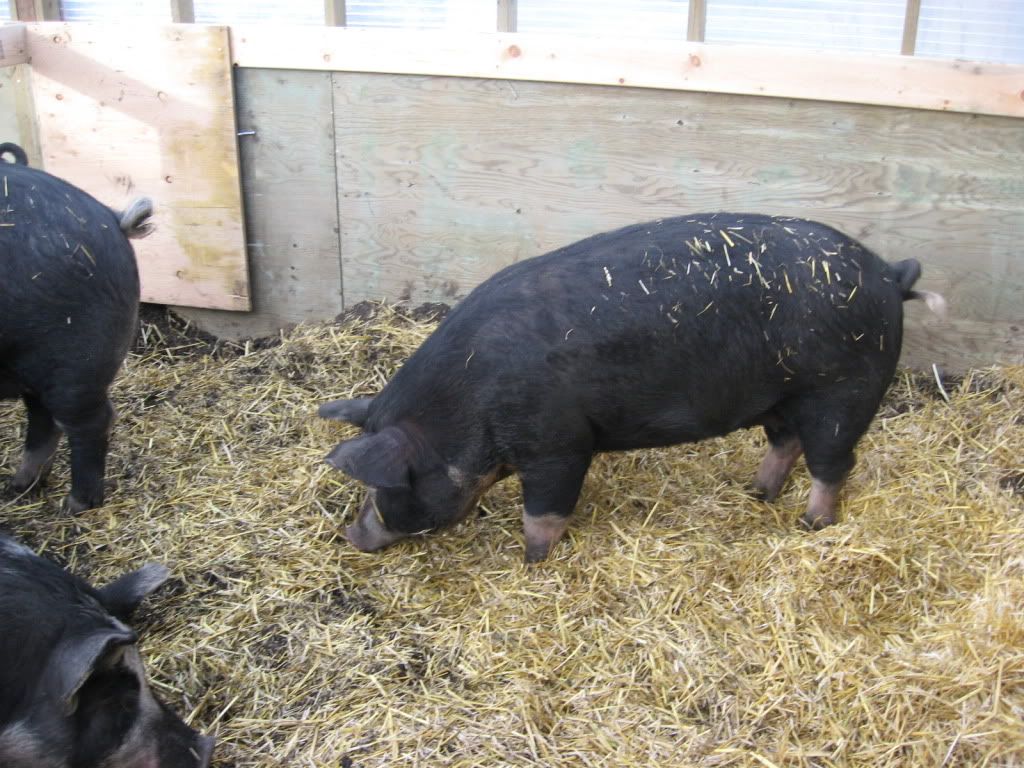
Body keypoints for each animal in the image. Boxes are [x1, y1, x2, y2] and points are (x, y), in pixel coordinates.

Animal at [0, 142, 153, 513]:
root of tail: (111, 218)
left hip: (71, 353)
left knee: (85, 420)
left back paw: (75, 504)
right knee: (45, 418)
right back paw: (20, 488)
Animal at [319, 213, 946, 562]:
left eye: (385, 485)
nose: (350, 535)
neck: (464, 409)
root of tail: (890, 273)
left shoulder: (557, 445)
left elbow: (545, 511)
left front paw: (530, 560)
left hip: (841, 393)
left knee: (835, 461)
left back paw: (811, 524)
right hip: (781, 396)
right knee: (785, 442)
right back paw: (756, 494)